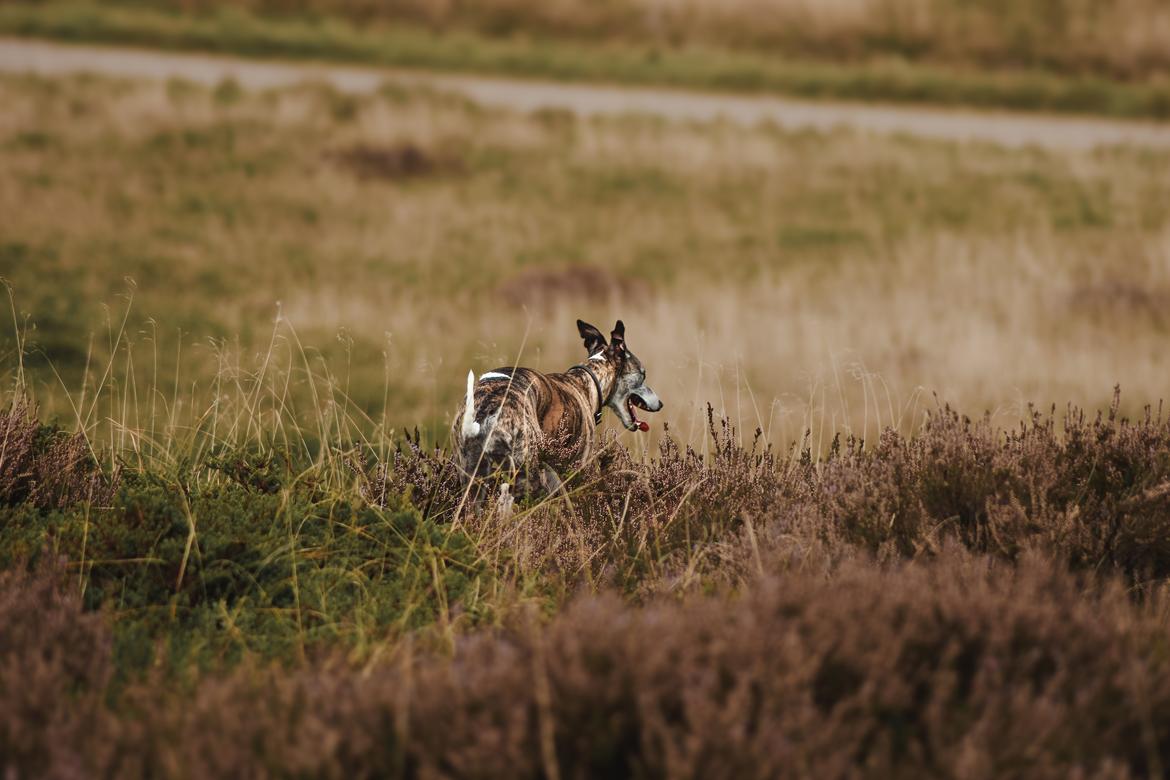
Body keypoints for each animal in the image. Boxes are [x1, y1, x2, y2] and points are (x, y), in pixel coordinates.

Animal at [451, 322, 664, 493]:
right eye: (643, 374)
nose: (661, 404)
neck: (586, 380)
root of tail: (486, 409)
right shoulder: (575, 469)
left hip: (472, 479)